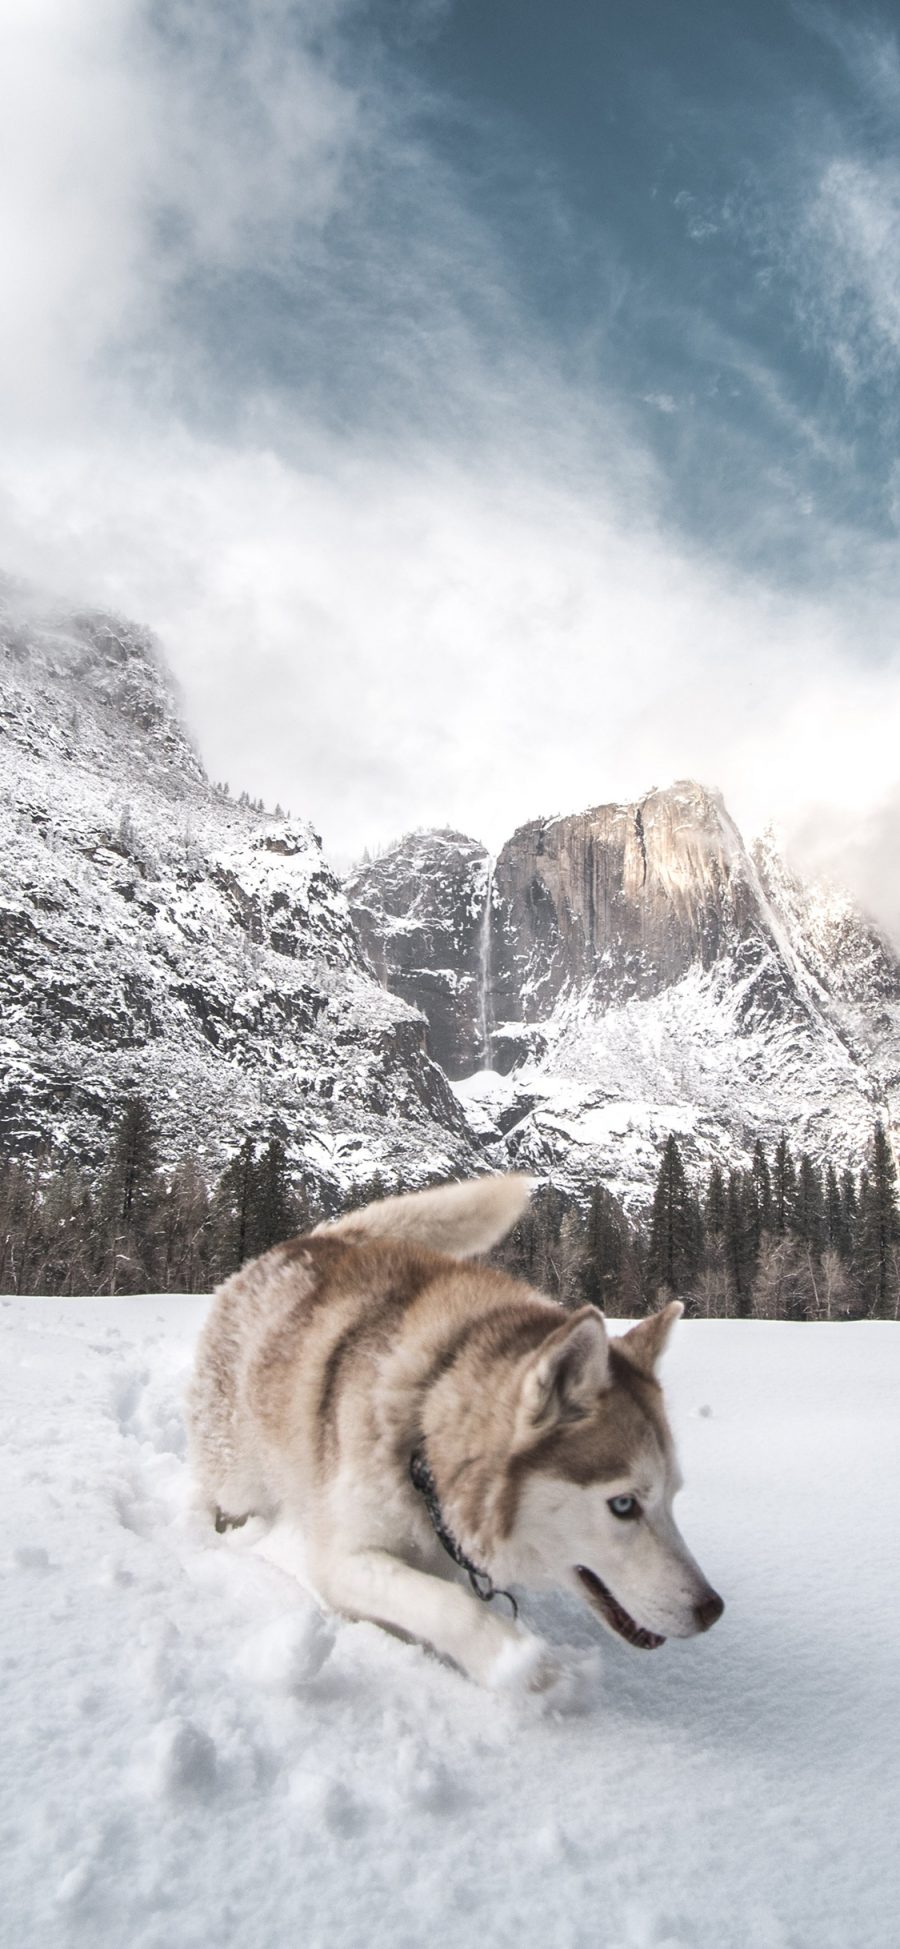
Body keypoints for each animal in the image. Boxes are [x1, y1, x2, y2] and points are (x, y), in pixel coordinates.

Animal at [186, 1169, 720, 1691]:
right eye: (624, 1505)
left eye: (673, 1496)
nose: (712, 1609)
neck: (424, 1422)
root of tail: (309, 1241)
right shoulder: (343, 1558)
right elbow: (450, 1607)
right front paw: (522, 1666)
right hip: (240, 1480)